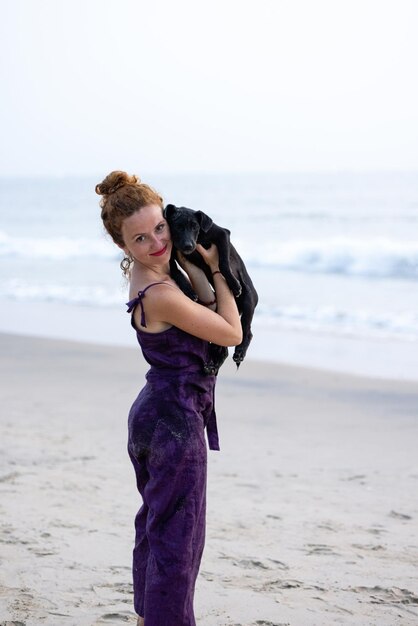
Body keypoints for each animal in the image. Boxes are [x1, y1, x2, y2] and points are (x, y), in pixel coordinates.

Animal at [164, 202, 258, 372]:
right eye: (177, 226)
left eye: (195, 226)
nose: (188, 245)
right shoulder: (172, 251)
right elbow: (174, 270)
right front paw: (188, 290)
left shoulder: (222, 234)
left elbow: (223, 263)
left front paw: (234, 284)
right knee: (223, 345)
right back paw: (213, 365)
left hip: (248, 300)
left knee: (247, 331)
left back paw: (239, 352)